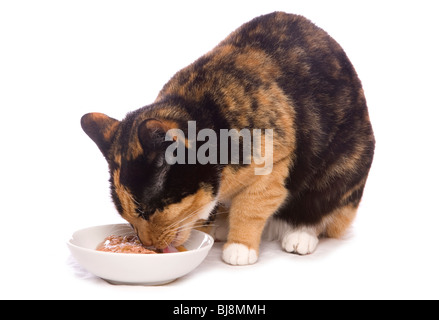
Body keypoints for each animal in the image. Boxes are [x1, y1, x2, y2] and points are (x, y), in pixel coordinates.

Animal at [81, 11, 374, 264]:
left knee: (322, 205)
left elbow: (251, 206)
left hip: (346, 163)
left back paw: (300, 235)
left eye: (146, 210)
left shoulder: (274, 164)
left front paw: (240, 247)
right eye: (126, 216)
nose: (148, 245)